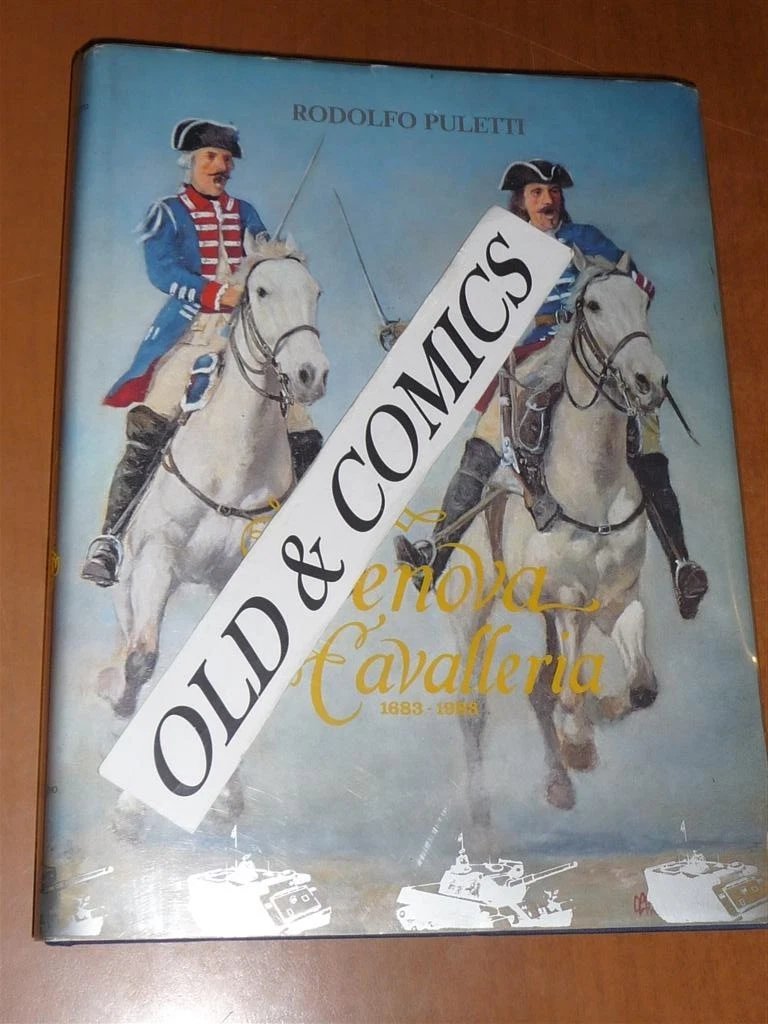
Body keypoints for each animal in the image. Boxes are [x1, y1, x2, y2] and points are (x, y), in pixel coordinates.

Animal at [100, 236, 329, 835]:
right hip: (127, 583)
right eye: (261, 290)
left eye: (316, 292)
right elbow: (142, 661)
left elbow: (227, 667)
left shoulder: (237, 579)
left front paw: (226, 794)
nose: (310, 374)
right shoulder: (157, 561)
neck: (234, 456)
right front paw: (129, 804)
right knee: (132, 646)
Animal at [443, 248, 668, 834]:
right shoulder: (566, 600)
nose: (649, 380)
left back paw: (558, 781)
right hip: (472, 610)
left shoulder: (617, 598)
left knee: (541, 691)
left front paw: (596, 722)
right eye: (592, 305)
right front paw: (581, 745)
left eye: (643, 302)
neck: (593, 485)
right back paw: (481, 816)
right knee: (473, 706)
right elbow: (568, 693)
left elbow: (641, 689)